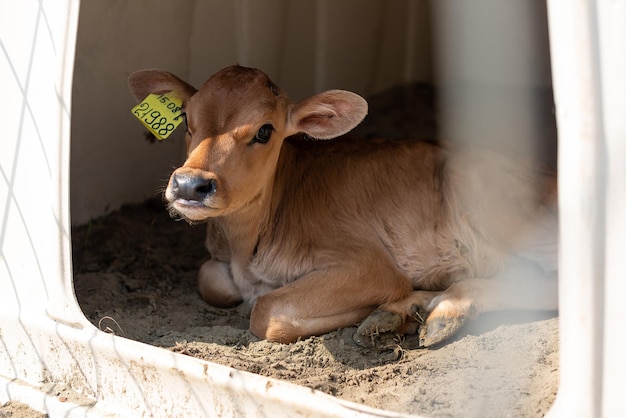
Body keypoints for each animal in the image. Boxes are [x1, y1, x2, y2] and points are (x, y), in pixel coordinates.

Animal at [127, 64, 556, 346]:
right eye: (186, 118)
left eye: (265, 131)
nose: (189, 184)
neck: (246, 250)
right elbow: (211, 279)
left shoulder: (370, 266)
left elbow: (265, 310)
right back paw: (401, 313)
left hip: (476, 187)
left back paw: (442, 309)